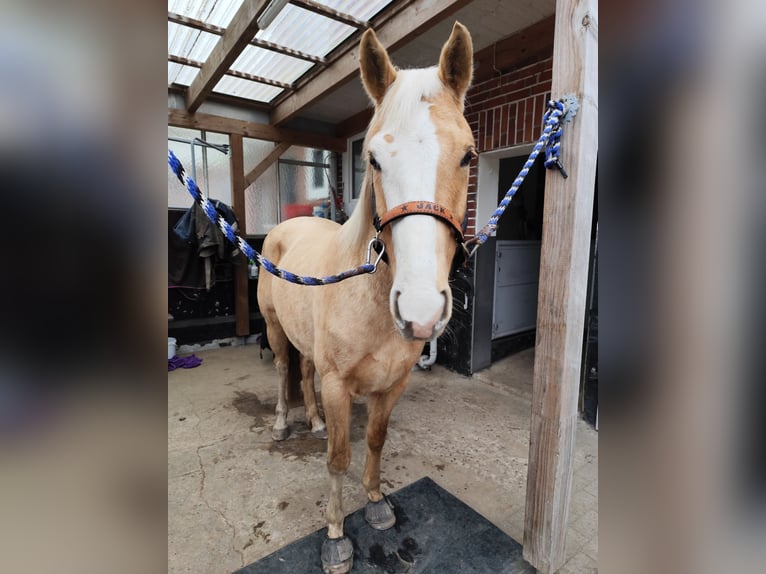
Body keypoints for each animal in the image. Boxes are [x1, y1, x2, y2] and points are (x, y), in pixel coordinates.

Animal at [257, 22, 475, 574]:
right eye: (372, 158)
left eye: (468, 154)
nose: (420, 312)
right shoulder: (339, 387)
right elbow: (338, 457)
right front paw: (336, 536)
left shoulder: (392, 384)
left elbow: (375, 440)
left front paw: (376, 504)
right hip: (275, 329)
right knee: (283, 372)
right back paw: (283, 424)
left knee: (304, 374)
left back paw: (311, 421)